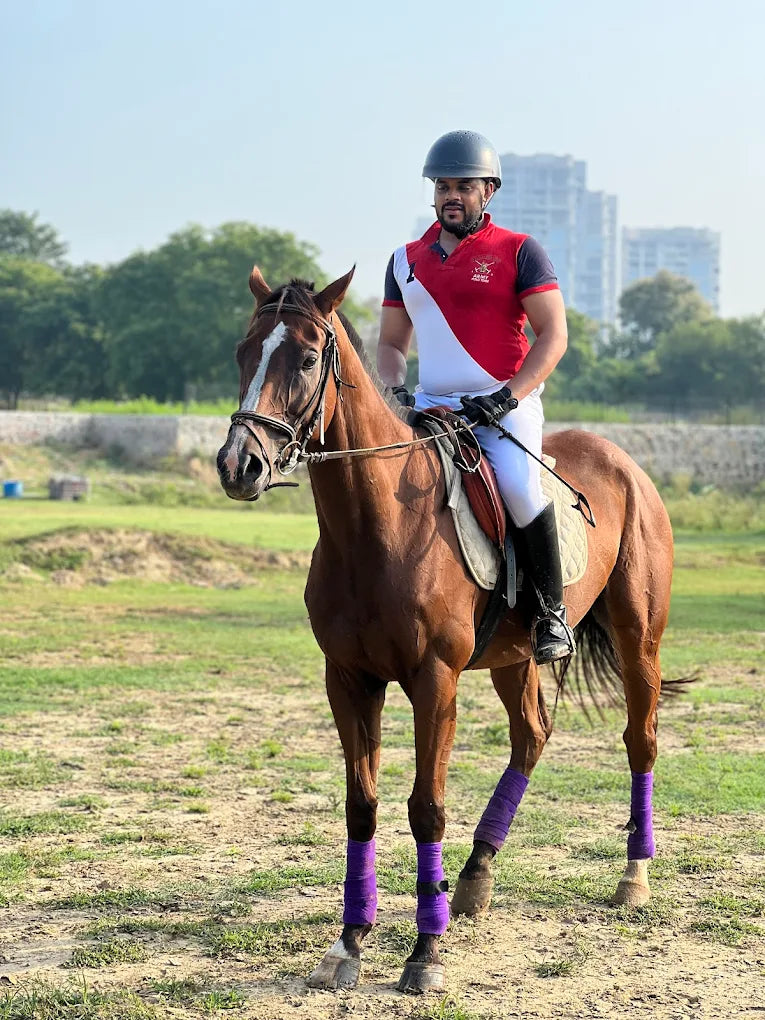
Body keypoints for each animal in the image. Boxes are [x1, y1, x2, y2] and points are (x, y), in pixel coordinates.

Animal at [217, 266, 675, 994]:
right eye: (242, 351)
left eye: (308, 359)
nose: (240, 465)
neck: (376, 526)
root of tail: (619, 458)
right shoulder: (348, 680)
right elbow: (363, 804)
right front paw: (348, 943)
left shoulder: (433, 682)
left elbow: (424, 807)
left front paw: (424, 953)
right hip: (516, 657)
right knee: (531, 737)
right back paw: (475, 878)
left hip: (639, 640)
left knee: (641, 740)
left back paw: (633, 877)